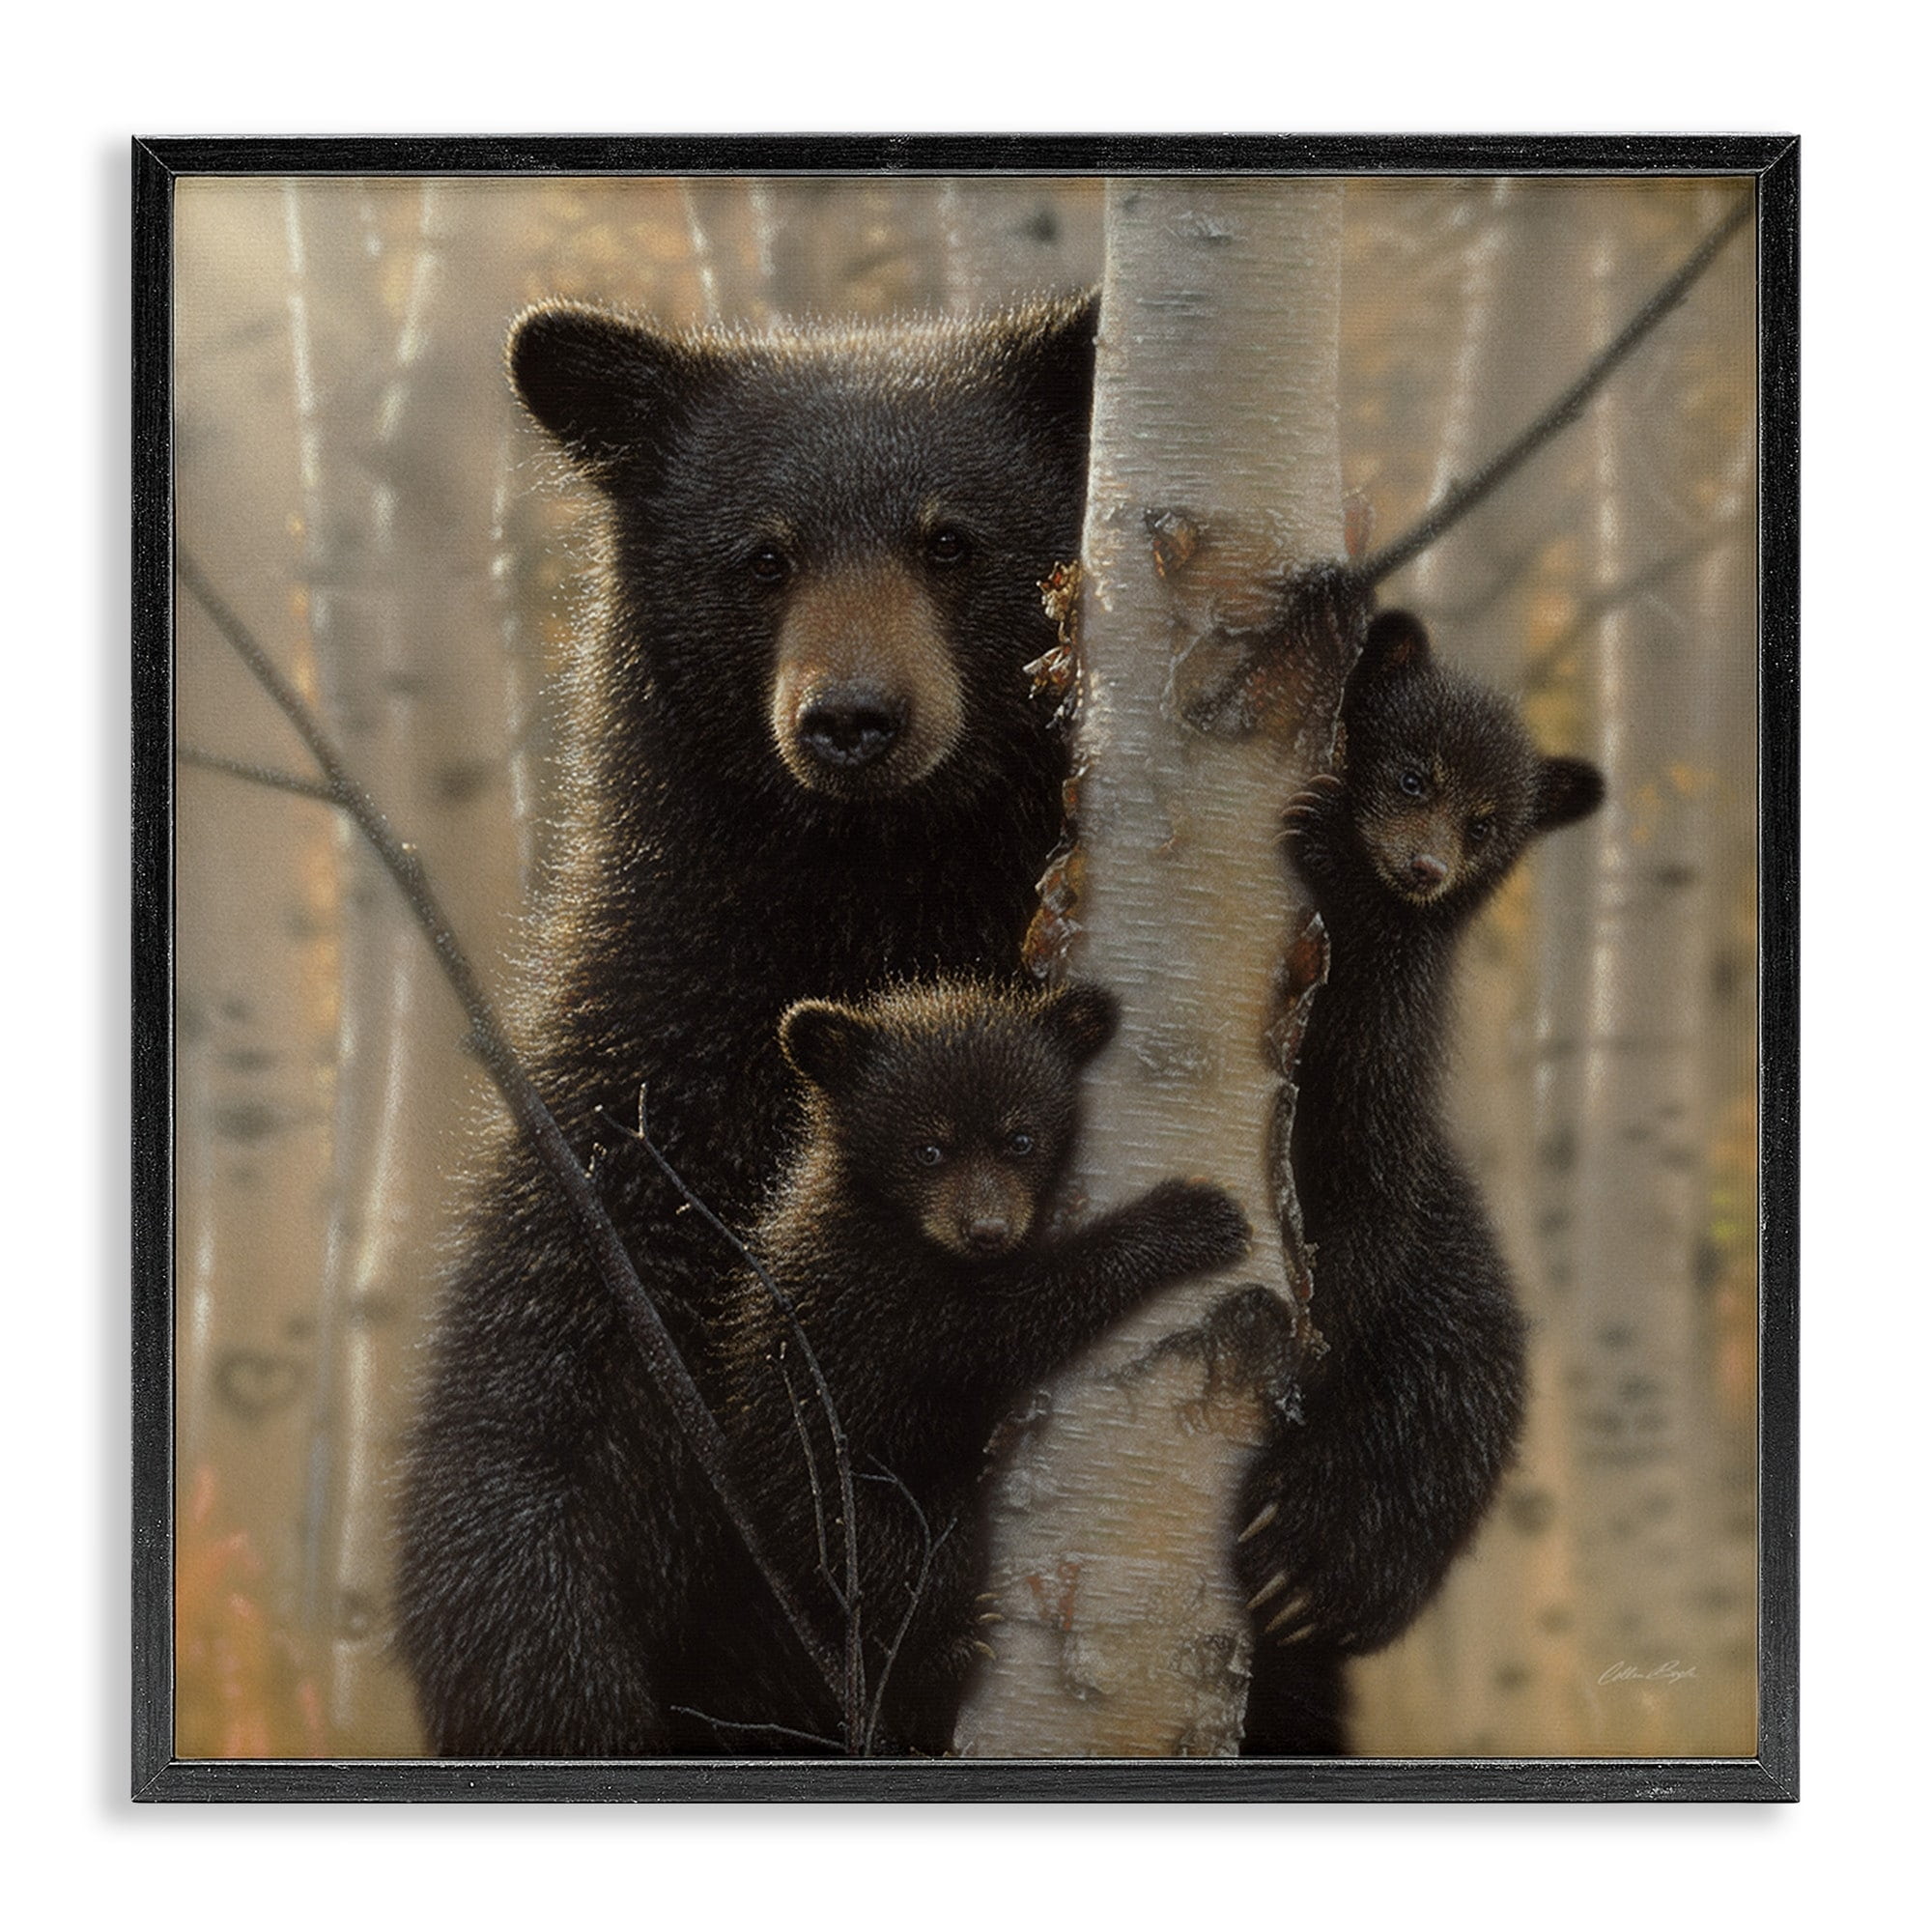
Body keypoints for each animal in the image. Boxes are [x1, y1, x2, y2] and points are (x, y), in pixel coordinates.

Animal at [393, 294, 1100, 1757]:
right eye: (760, 557)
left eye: (951, 540)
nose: (853, 720)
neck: (872, 907)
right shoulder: (643, 1106)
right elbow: (525, 1426)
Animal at [679, 977, 1253, 1755]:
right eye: (927, 1148)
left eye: (1020, 1138)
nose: (986, 1230)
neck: (893, 1220)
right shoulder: (884, 1295)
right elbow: (1007, 1324)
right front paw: (1190, 1216)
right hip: (832, 1500)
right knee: (904, 1564)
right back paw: (941, 1653)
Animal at [1235, 608, 1605, 1756]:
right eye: (1410, 773)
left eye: (1487, 822)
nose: (1425, 867)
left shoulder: (1382, 1070)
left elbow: (1362, 1218)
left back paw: (1306, 1562)